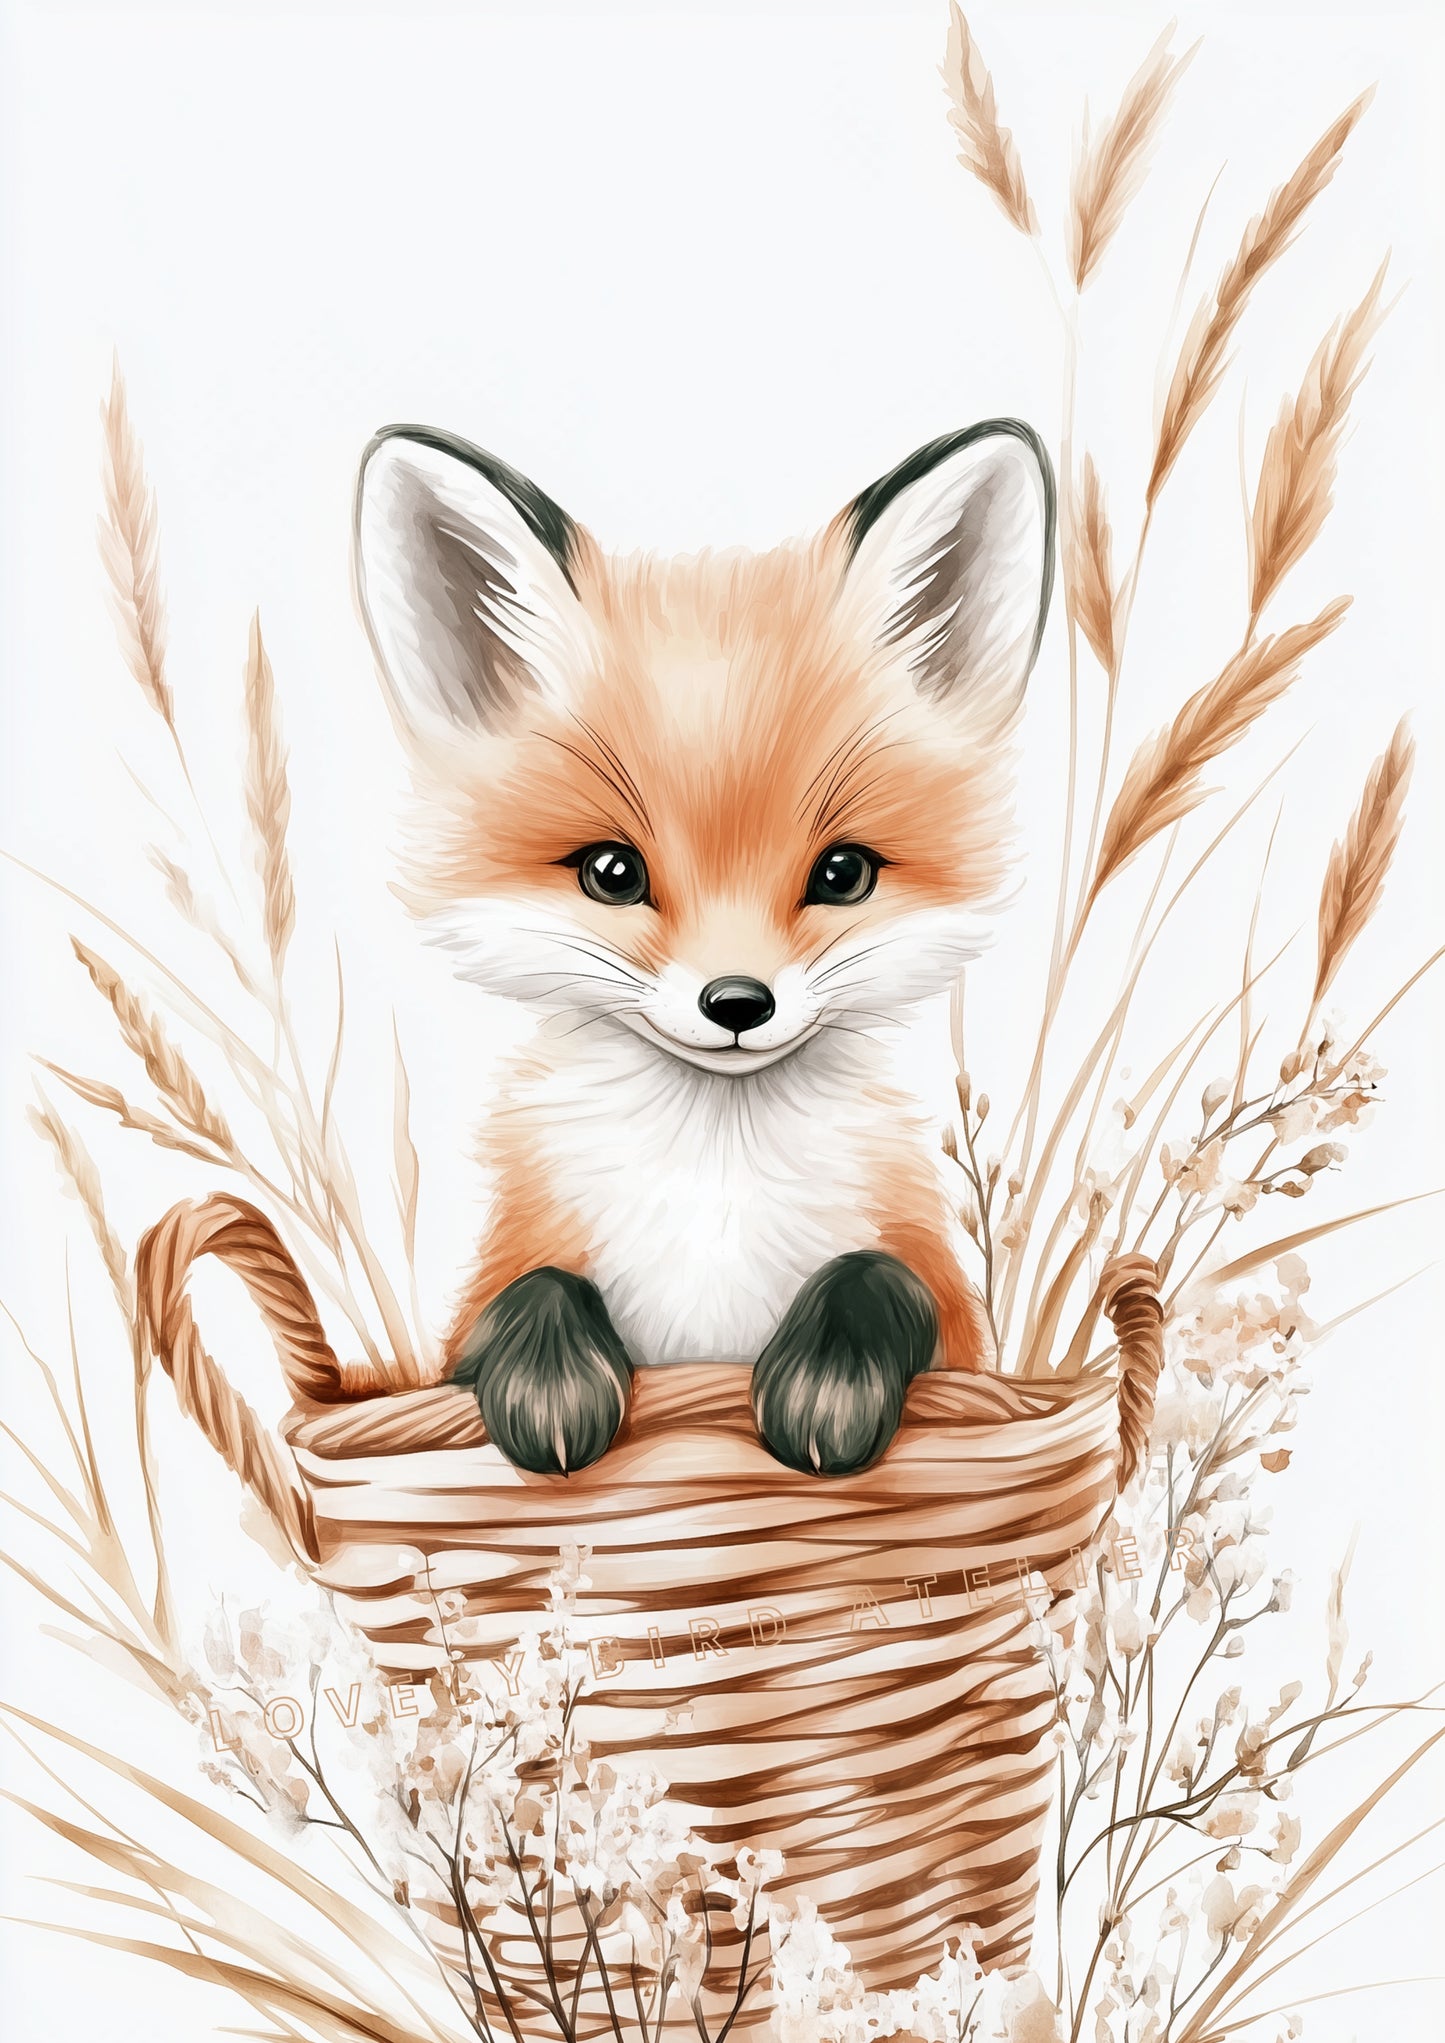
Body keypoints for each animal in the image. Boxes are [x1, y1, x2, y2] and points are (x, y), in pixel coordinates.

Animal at [353, 420, 1055, 1479]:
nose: (735, 1003)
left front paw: (826, 1380)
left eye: (843, 872)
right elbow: (531, 1292)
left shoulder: (957, 1325)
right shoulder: (471, 1316)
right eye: (611, 871)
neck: (711, 1194)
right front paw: (549, 1379)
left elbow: (878, 1276)